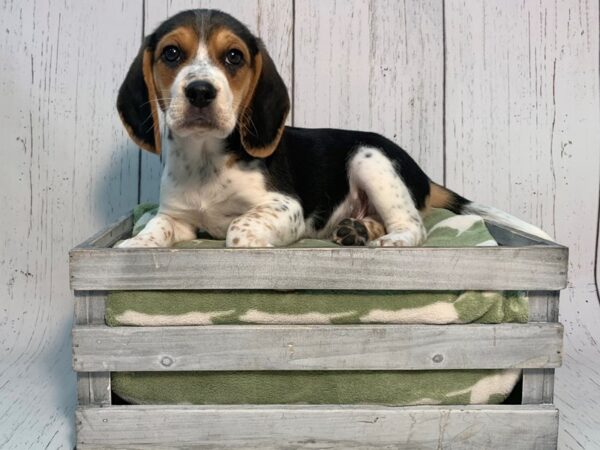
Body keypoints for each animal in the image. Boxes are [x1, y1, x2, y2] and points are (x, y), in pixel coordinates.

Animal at [115, 9, 552, 250]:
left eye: (234, 57)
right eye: (172, 53)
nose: (200, 91)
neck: (206, 156)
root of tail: (424, 174)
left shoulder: (285, 206)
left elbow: (239, 227)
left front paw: (253, 240)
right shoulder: (177, 215)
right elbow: (156, 226)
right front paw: (137, 241)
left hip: (370, 159)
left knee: (414, 226)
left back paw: (385, 238)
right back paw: (357, 229)